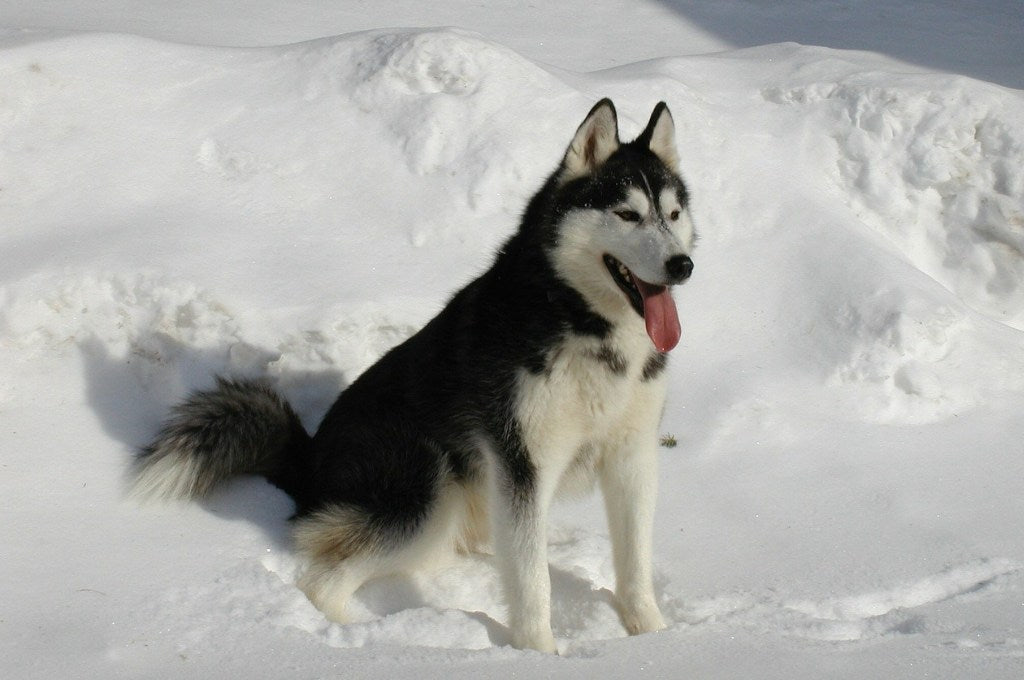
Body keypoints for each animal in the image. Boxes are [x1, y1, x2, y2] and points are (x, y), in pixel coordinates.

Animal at [132, 98, 696, 651]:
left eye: (672, 214)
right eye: (627, 214)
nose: (682, 264)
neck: (584, 324)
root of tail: (309, 458)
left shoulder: (631, 456)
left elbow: (634, 564)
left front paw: (654, 638)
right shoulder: (522, 465)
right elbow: (534, 583)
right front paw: (538, 654)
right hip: (427, 491)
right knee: (322, 581)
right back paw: (369, 642)